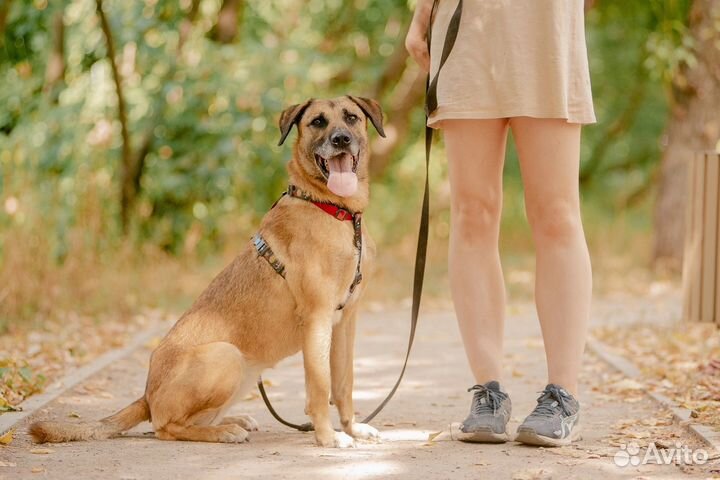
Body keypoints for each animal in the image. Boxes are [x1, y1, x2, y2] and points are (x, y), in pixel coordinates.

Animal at [30, 95, 388, 448]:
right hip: (226, 356)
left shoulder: (345, 320)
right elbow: (320, 386)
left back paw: (234, 420)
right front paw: (328, 437)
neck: (337, 211)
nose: (340, 140)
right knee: (166, 427)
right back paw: (223, 431)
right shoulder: (317, 318)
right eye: (317, 122)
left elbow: (343, 384)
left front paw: (352, 428)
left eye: (351, 117)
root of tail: (147, 396)